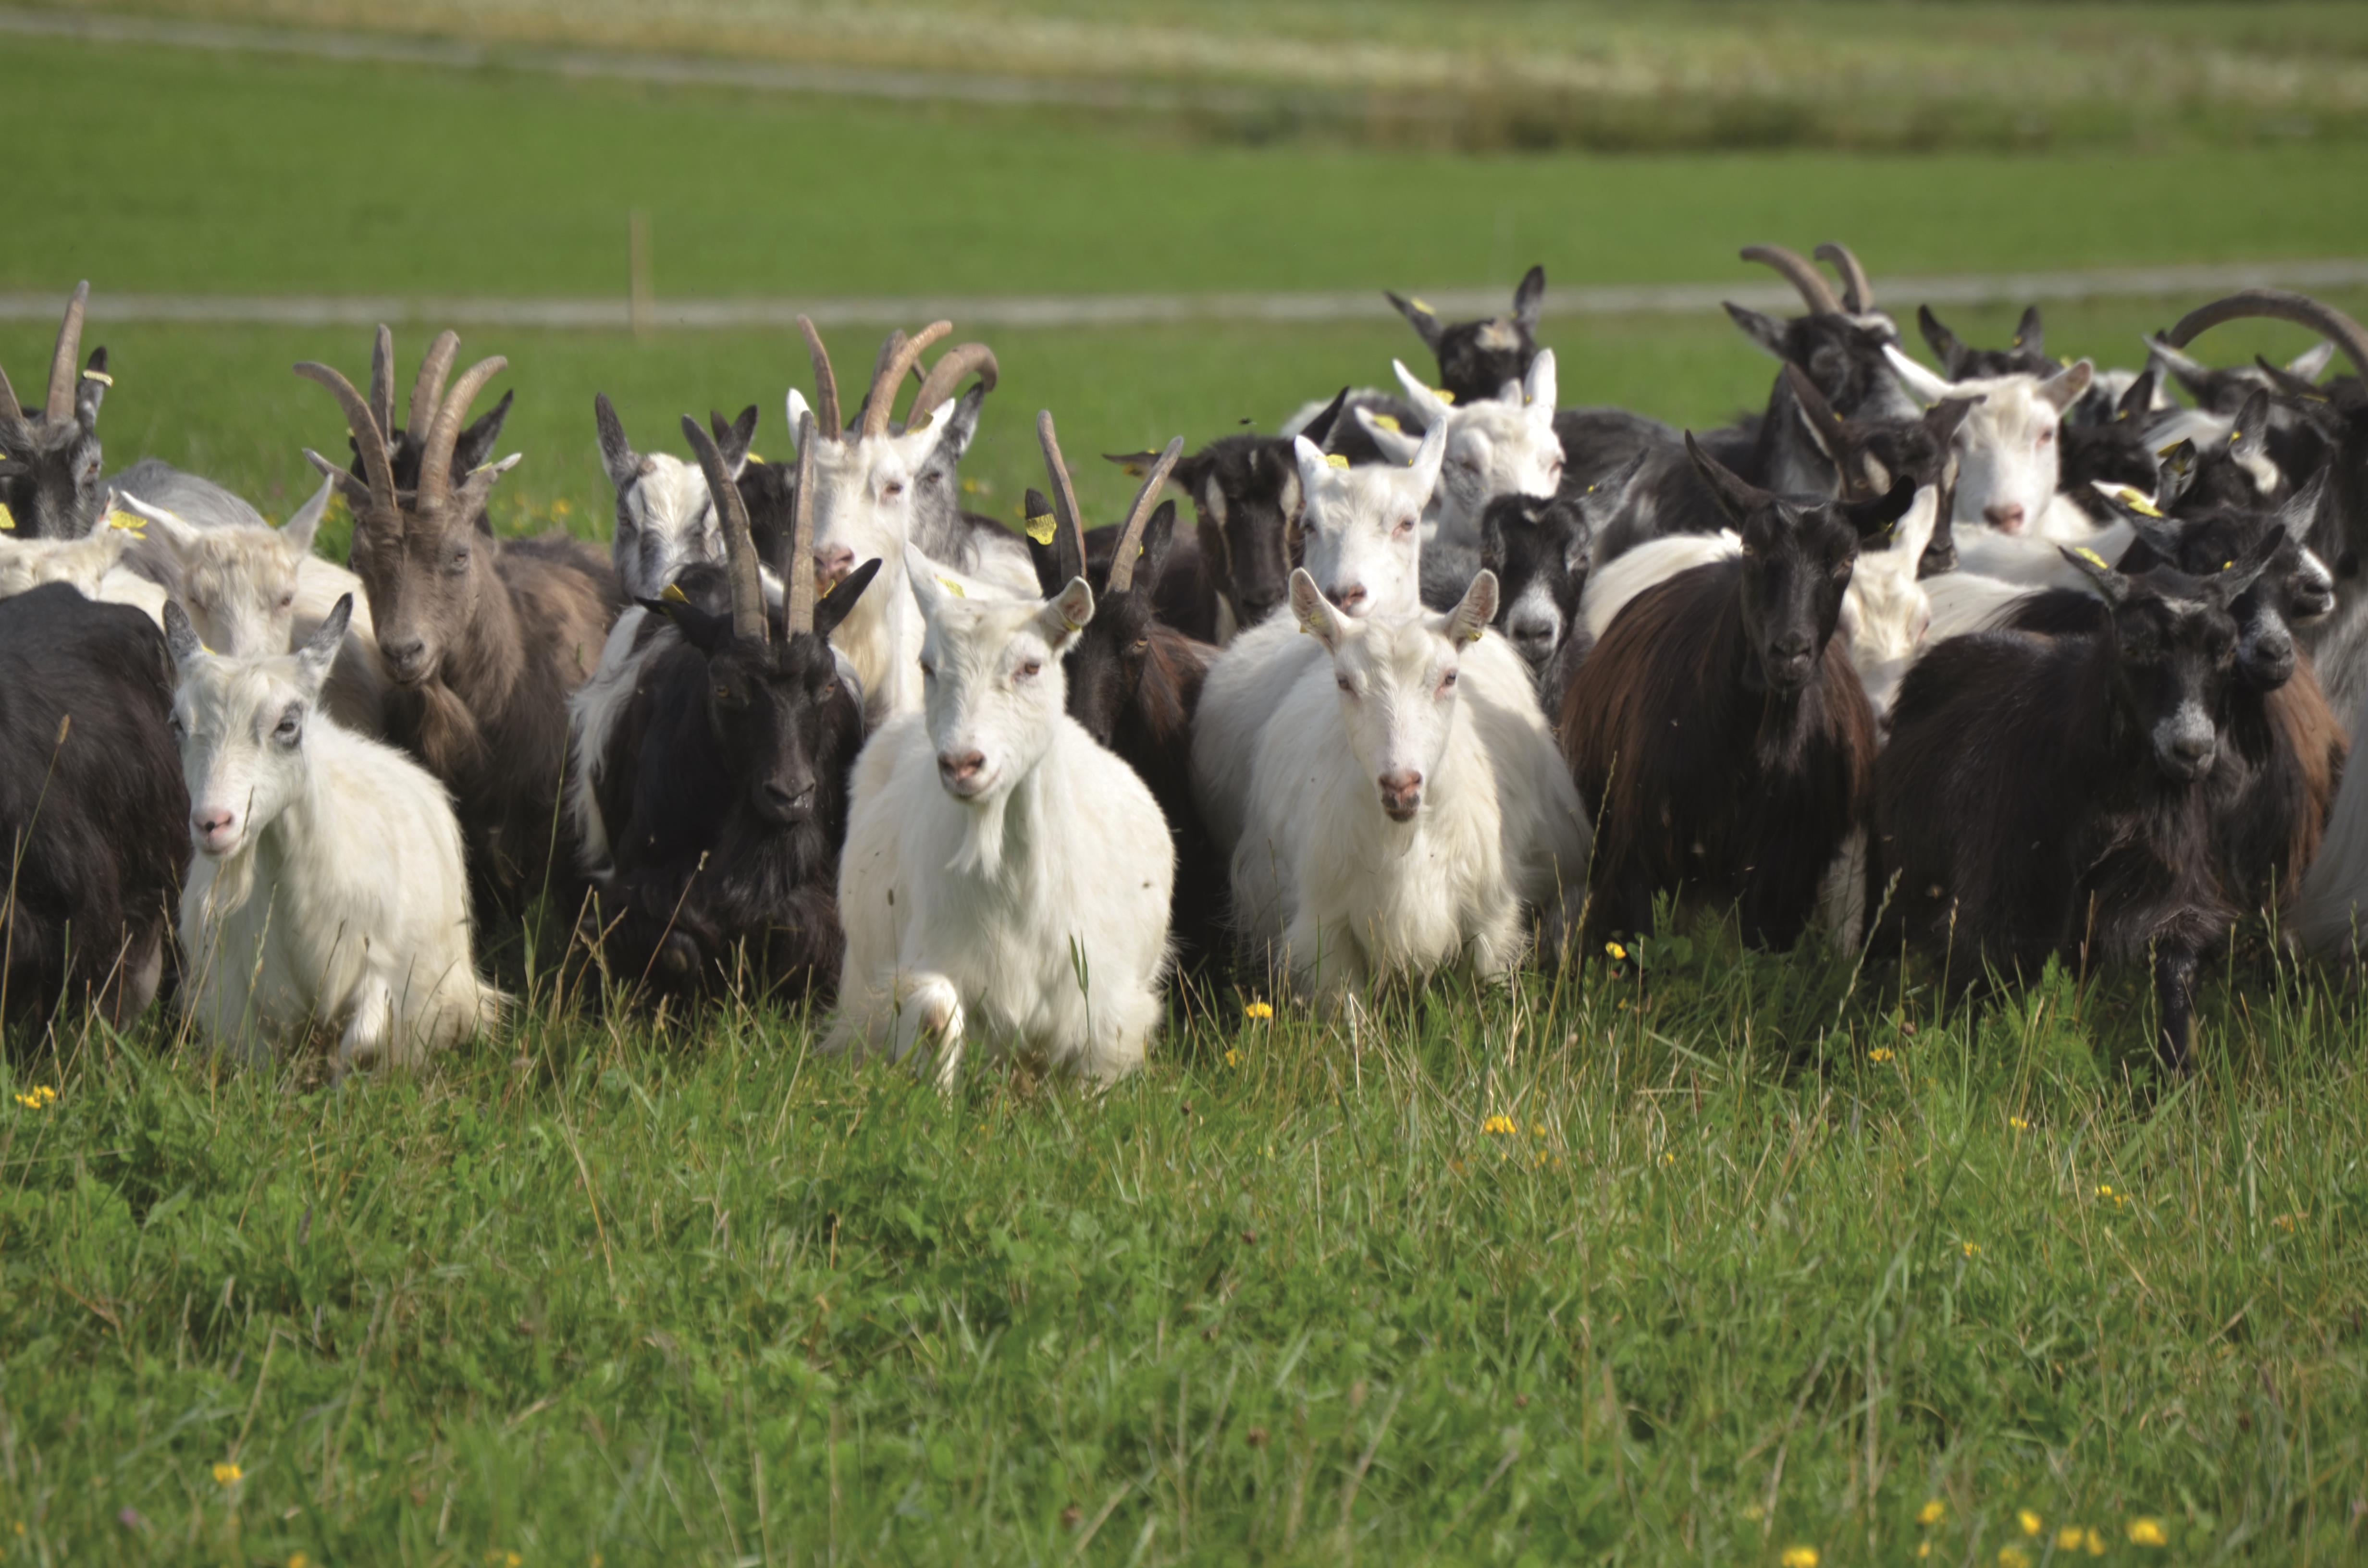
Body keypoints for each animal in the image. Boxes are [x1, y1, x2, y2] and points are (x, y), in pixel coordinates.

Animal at [166, 594, 500, 1072]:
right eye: (177, 724)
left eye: (287, 724)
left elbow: (360, 1042)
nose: (213, 823)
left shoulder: (388, 977)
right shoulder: (236, 1003)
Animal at [586, 415, 878, 999]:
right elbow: (675, 947)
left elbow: (802, 943)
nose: (789, 795)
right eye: (723, 688)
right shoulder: (626, 888)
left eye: (826, 685)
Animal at [828, 561, 1174, 1087]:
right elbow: (936, 1013)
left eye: (1031, 667)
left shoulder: (1107, 1012)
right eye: (928, 667)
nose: (961, 763)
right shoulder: (922, 965)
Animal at [1230, 567, 1590, 1008]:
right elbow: (1349, 1015)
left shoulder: (1489, 919)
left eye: (1450, 678)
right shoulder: (1325, 931)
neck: (1405, 838)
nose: (1401, 785)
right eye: (1344, 682)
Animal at [1872, 541, 2279, 1071]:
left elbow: (2176, 964)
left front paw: (2175, 1070)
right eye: (2133, 646)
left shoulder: (2162, 885)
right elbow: (1978, 979)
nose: (2191, 751)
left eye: (2226, 650)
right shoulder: (2003, 891)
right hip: (1909, 873)